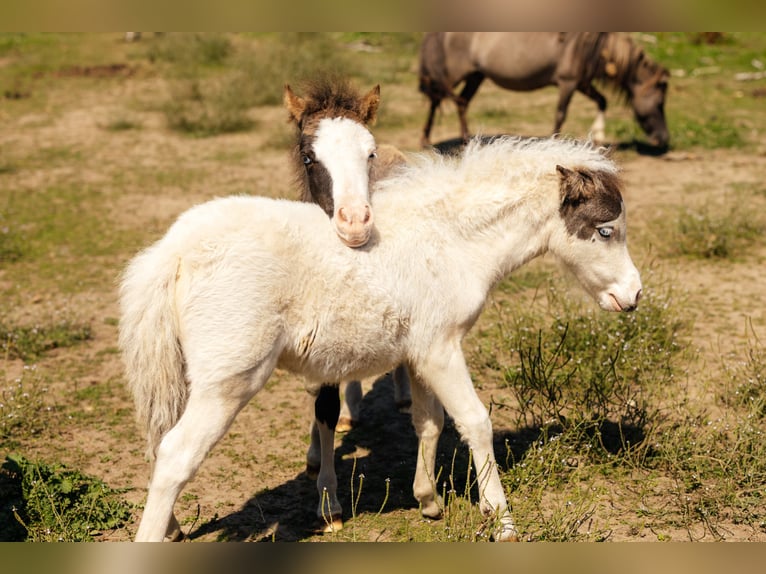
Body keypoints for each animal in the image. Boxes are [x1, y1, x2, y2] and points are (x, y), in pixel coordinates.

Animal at [119, 136, 642, 542]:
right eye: (605, 230)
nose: (634, 295)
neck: (449, 240)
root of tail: (176, 251)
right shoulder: (441, 349)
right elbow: (475, 422)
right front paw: (502, 520)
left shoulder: (418, 354)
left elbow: (429, 422)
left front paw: (428, 500)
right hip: (229, 383)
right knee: (176, 455)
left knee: (160, 443)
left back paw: (174, 527)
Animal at [419, 32, 670, 149]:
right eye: (660, 103)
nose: (664, 139)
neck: (590, 45)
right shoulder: (568, 83)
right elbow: (560, 114)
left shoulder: (582, 83)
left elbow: (602, 101)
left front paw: (598, 135)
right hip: (454, 76)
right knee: (437, 100)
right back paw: (426, 140)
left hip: (476, 76)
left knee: (461, 102)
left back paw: (466, 140)